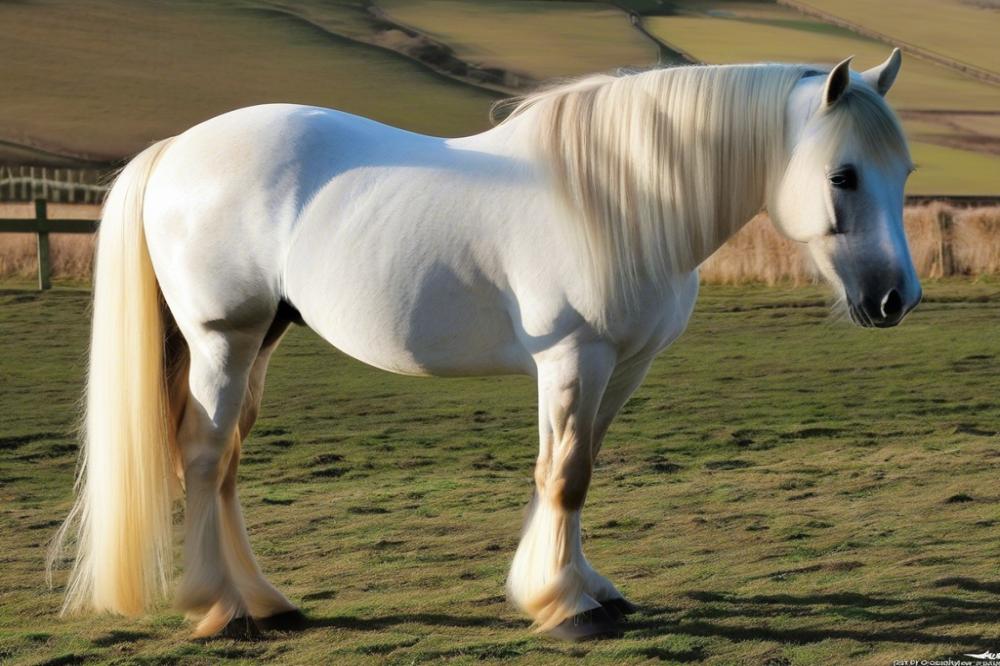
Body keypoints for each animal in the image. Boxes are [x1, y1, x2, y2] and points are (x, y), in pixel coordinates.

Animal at [50, 52, 916, 640]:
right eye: (842, 175)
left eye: (903, 171)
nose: (894, 299)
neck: (624, 197)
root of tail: (174, 151)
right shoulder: (573, 357)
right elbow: (566, 475)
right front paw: (565, 606)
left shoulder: (620, 365)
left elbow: (577, 467)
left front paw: (585, 588)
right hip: (222, 341)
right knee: (202, 456)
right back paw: (223, 609)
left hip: (263, 337)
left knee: (226, 460)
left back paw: (266, 600)